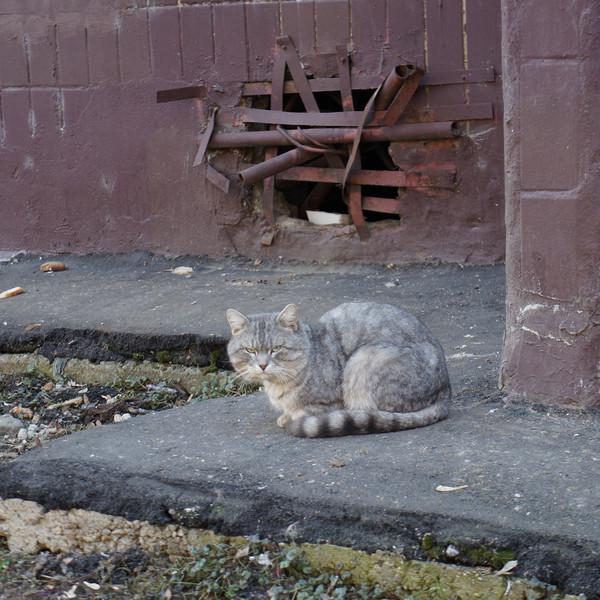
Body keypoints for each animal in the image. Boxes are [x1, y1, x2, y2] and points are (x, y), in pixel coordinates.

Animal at [226, 302, 450, 437]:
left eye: (276, 348)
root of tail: (445, 389)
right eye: (250, 350)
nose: (263, 365)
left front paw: (289, 418)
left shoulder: (330, 402)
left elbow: (304, 412)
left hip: (364, 359)